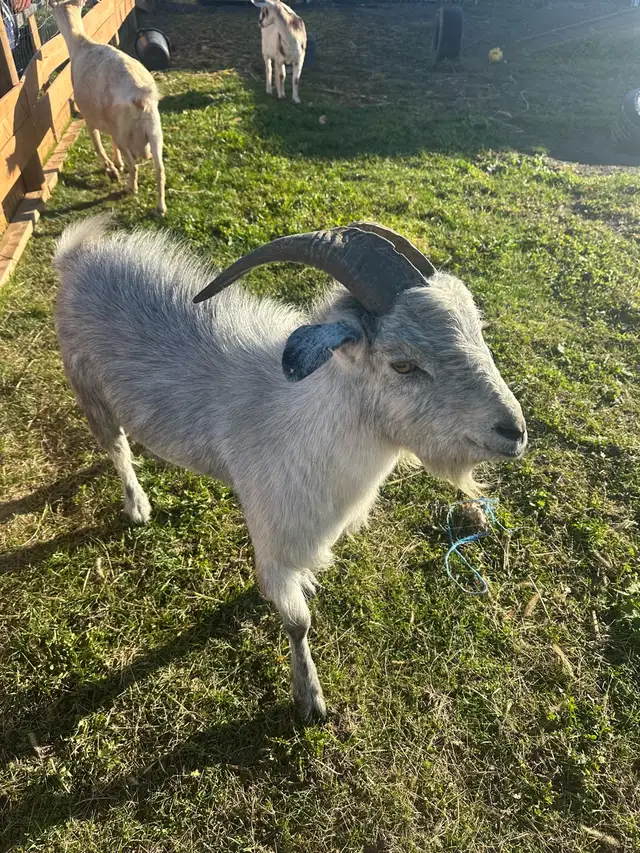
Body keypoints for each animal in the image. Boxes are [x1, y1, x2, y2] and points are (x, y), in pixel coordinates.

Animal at [50, 0, 166, 216]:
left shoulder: (89, 117)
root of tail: (140, 97)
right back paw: (161, 207)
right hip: (154, 130)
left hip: (125, 132)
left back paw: (130, 188)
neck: (81, 44)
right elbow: (110, 142)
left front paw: (111, 170)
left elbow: (97, 144)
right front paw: (117, 164)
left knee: (134, 166)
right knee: (160, 169)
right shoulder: (111, 123)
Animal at [54, 217, 527, 720]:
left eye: (478, 331)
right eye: (403, 364)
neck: (295, 418)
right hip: (84, 382)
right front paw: (309, 698)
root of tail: (77, 253)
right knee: (116, 448)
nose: (514, 431)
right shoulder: (274, 540)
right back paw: (138, 505)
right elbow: (298, 622)